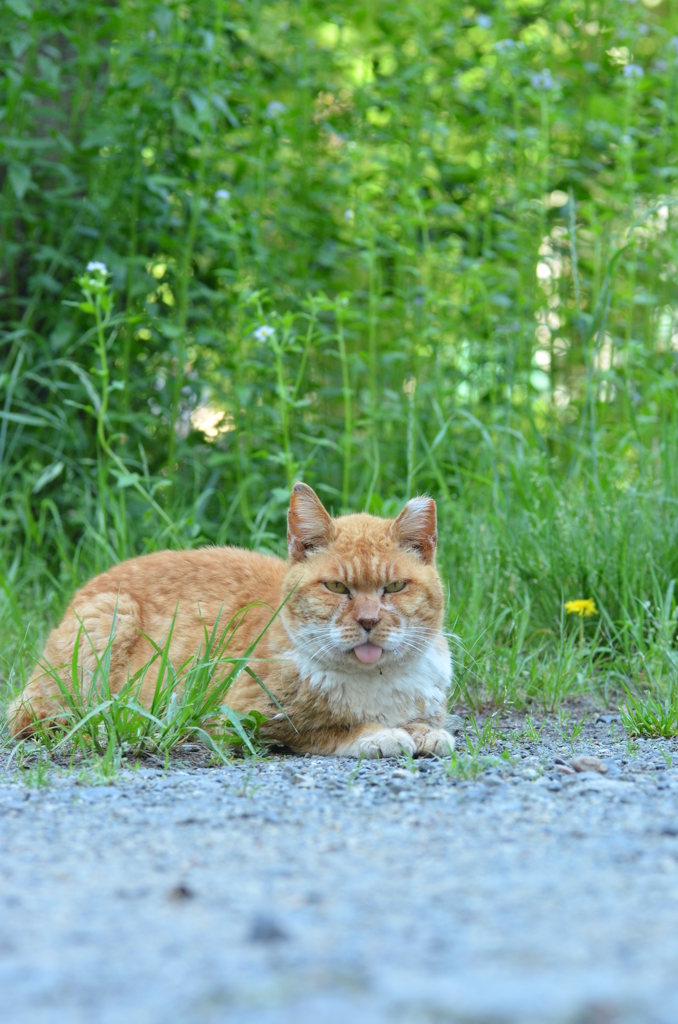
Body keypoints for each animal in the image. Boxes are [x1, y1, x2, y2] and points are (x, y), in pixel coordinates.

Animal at [6, 483, 456, 757]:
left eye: (394, 587)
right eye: (336, 587)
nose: (368, 621)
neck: (374, 682)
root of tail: (92, 582)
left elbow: (426, 724)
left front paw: (422, 732)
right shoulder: (242, 718)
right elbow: (326, 729)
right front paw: (379, 734)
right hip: (110, 619)